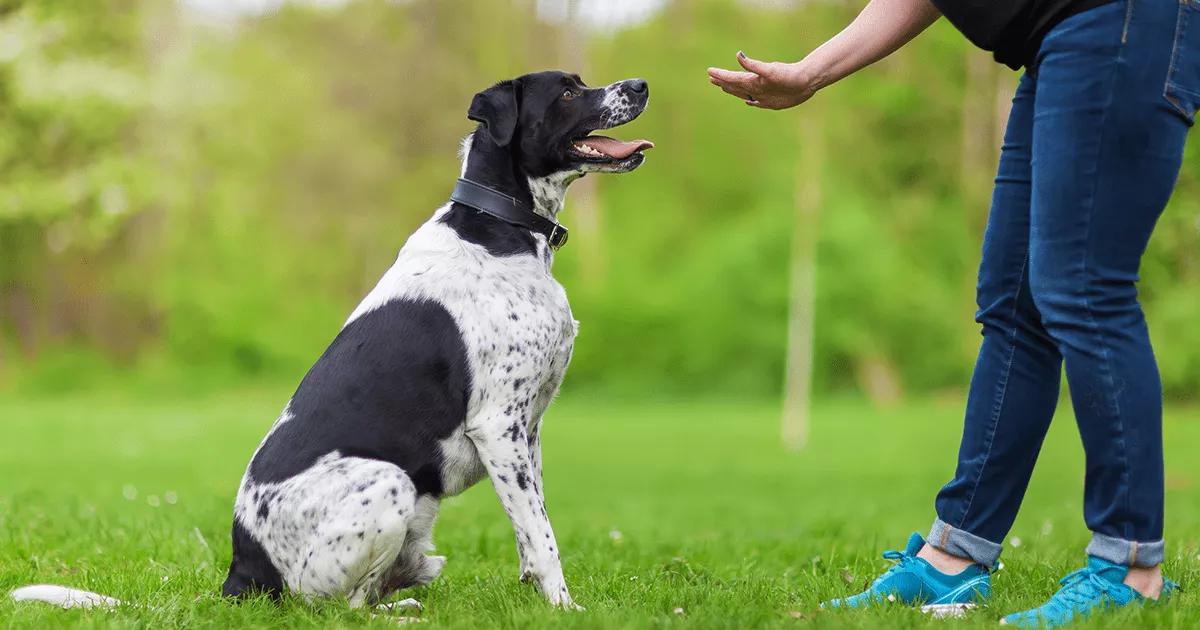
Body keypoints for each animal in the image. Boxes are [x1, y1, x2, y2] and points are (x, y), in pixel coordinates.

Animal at [11, 71, 648, 612]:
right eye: (568, 92)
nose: (640, 85)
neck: (499, 229)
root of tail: (241, 577)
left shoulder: (525, 432)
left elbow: (528, 532)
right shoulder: (498, 426)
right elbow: (542, 536)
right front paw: (564, 608)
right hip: (388, 483)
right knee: (338, 607)